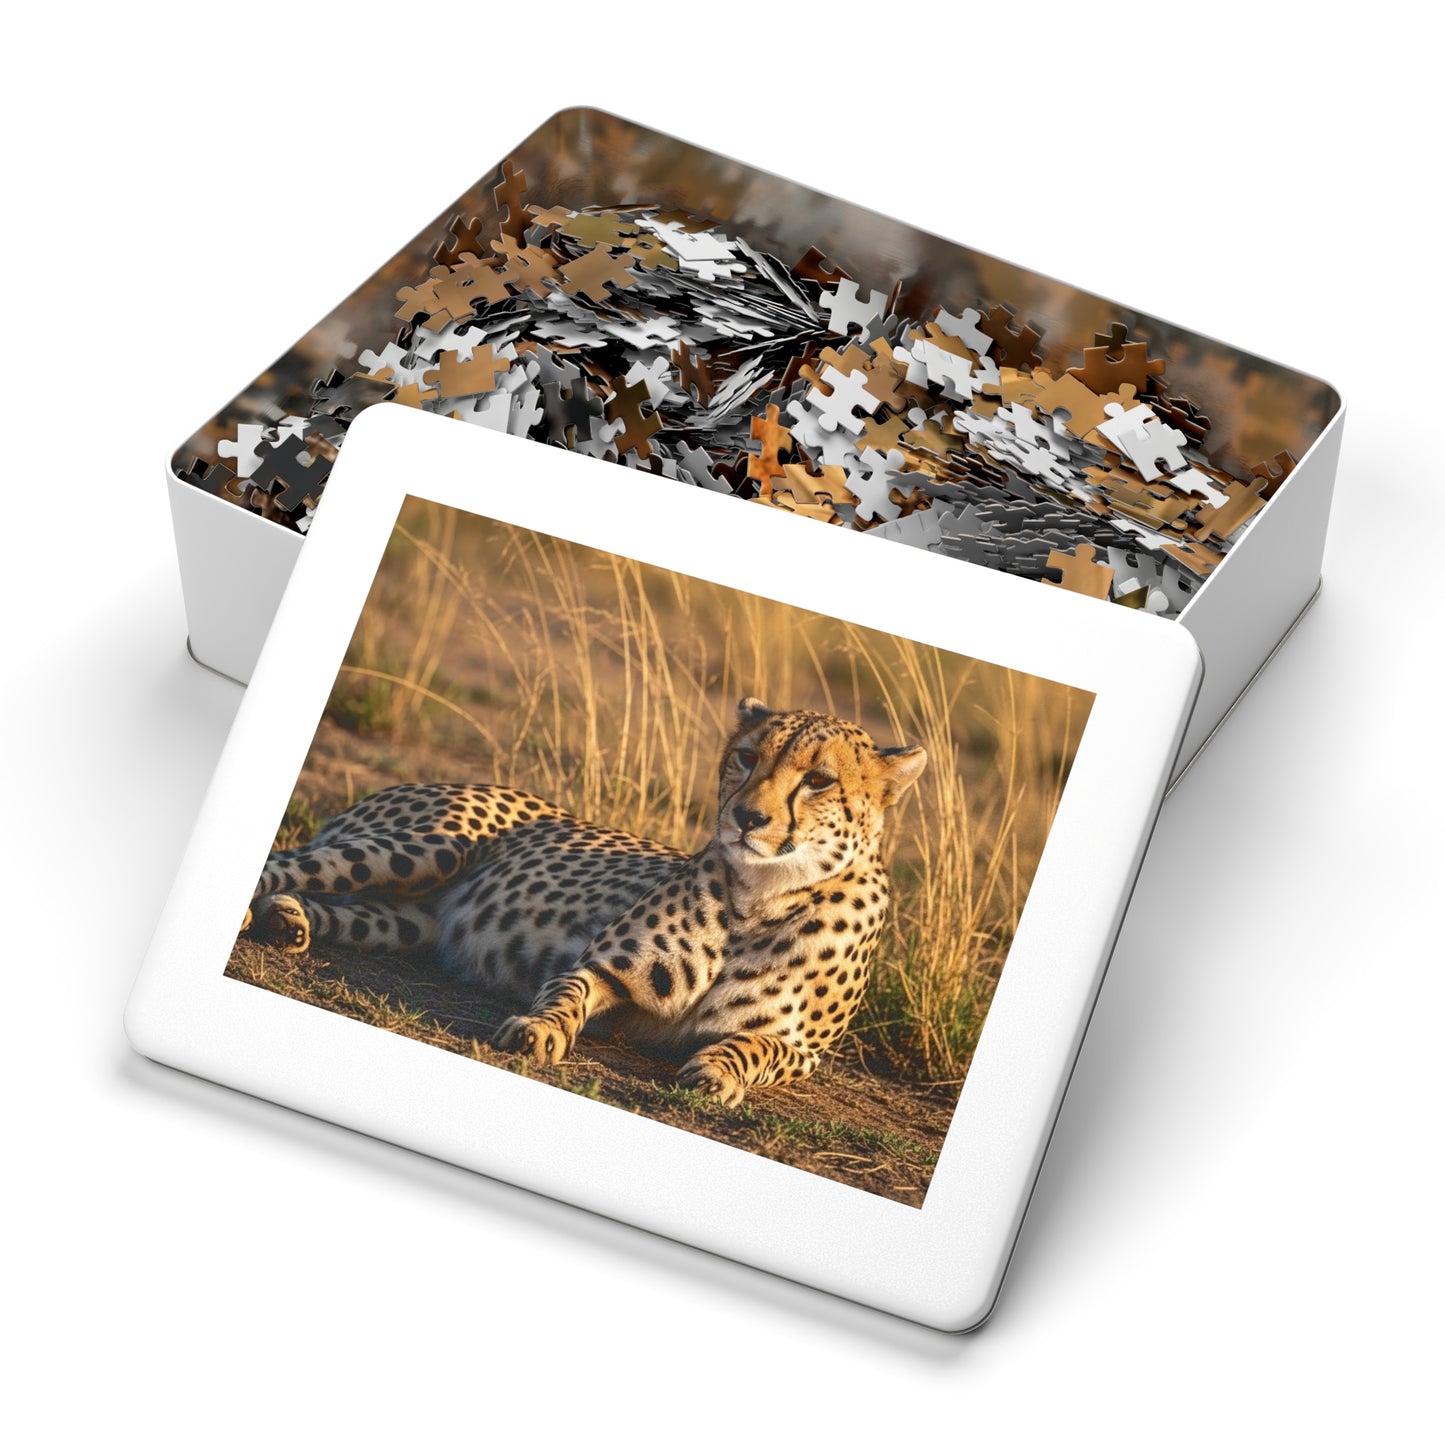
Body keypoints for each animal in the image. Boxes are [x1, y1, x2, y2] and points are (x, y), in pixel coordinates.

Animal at [244, 698, 926, 1106]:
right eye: (747, 756)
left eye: (819, 780)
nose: (747, 818)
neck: (762, 895)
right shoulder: (607, 969)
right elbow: (568, 990)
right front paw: (540, 1030)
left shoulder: (806, 1051)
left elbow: (758, 1047)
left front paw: (718, 1071)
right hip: (422, 848)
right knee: (284, 863)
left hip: (410, 920)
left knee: (332, 904)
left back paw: (289, 922)